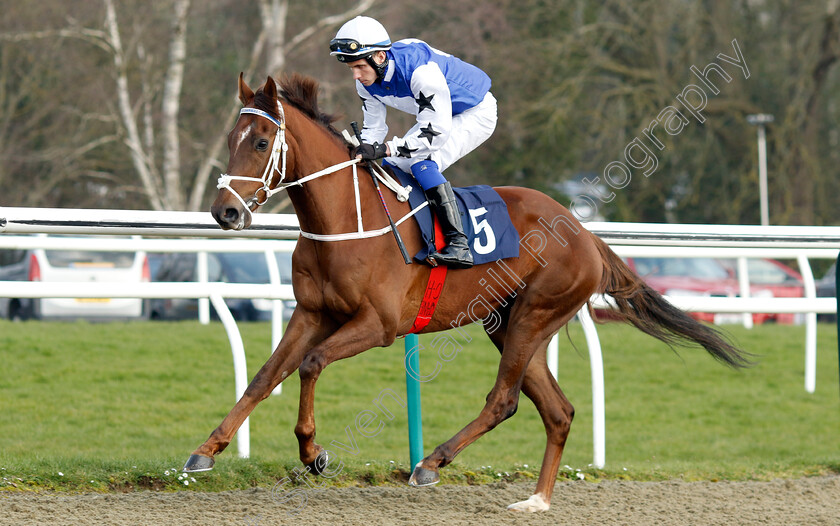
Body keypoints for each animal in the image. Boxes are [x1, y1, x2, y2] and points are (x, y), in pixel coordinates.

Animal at [184, 72, 748, 512]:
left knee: (504, 400)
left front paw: (313, 453)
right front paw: (207, 450)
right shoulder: (310, 312)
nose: (225, 212)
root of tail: (585, 232)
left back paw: (431, 462)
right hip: (509, 323)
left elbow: (311, 363)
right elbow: (264, 377)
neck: (345, 218)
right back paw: (536, 500)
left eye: (261, 142)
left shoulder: (378, 325)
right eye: (231, 138)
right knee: (557, 410)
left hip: (535, 313)